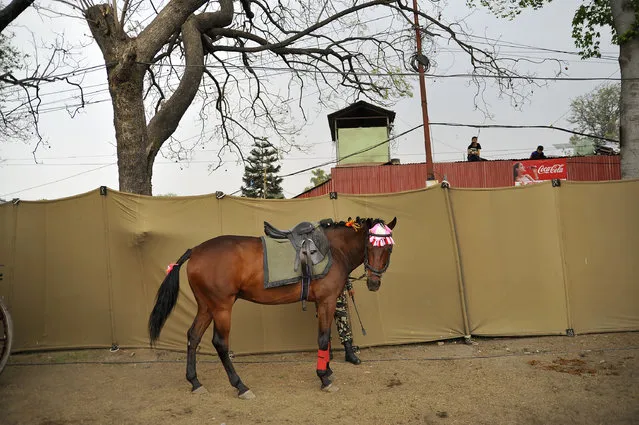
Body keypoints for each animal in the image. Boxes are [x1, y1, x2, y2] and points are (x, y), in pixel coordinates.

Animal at [149, 219, 396, 398]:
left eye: (389, 249)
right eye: (369, 245)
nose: (374, 282)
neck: (332, 250)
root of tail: (195, 250)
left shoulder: (323, 302)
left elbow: (324, 339)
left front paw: (328, 371)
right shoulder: (326, 301)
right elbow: (323, 338)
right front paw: (324, 377)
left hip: (206, 306)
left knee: (193, 336)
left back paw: (195, 381)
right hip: (221, 307)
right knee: (220, 343)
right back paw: (240, 386)